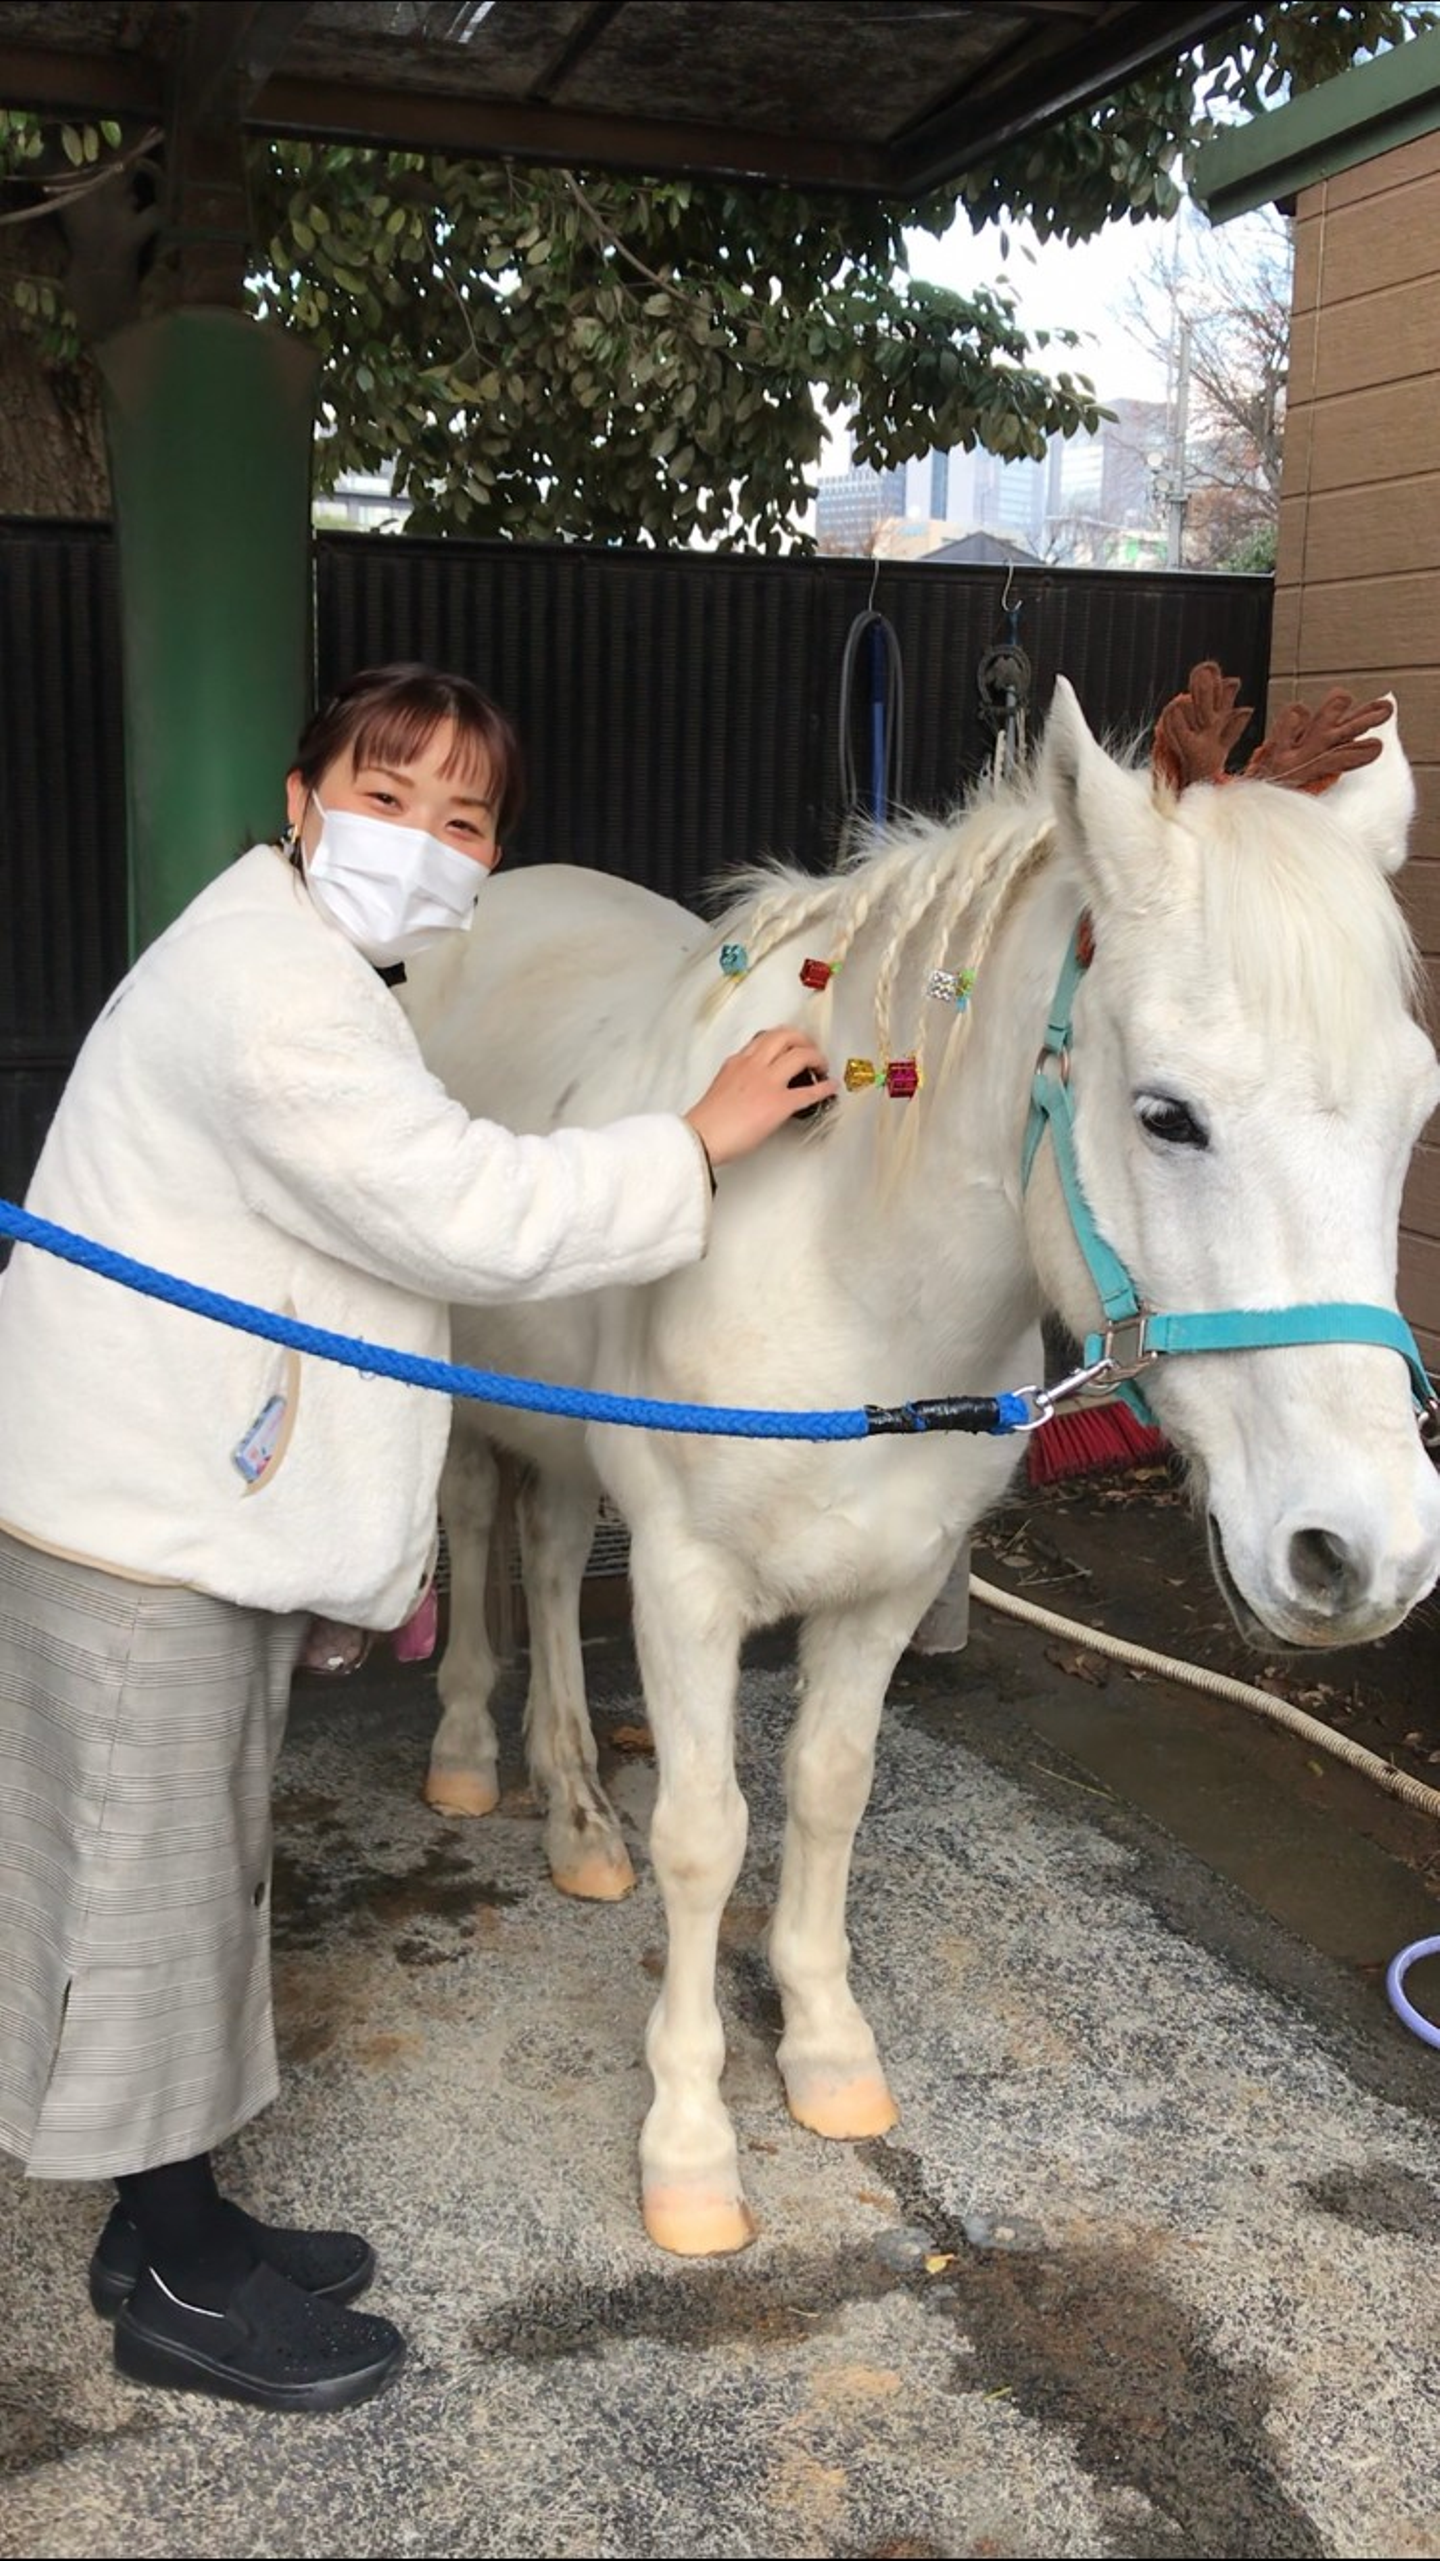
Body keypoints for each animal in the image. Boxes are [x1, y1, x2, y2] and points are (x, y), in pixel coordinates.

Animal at [399, 664, 1440, 2259]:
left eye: (1416, 1111)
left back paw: (575, 1815)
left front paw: (827, 2049)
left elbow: (830, 1790)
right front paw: (691, 2139)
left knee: (554, 1550)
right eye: (1168, 1113)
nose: (1363, 1553)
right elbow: (706, 1832)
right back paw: (469, 1759)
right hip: (463, 1397)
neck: (846, 1272)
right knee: (475, 1524)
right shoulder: (690, 1583)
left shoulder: (889, 1580)